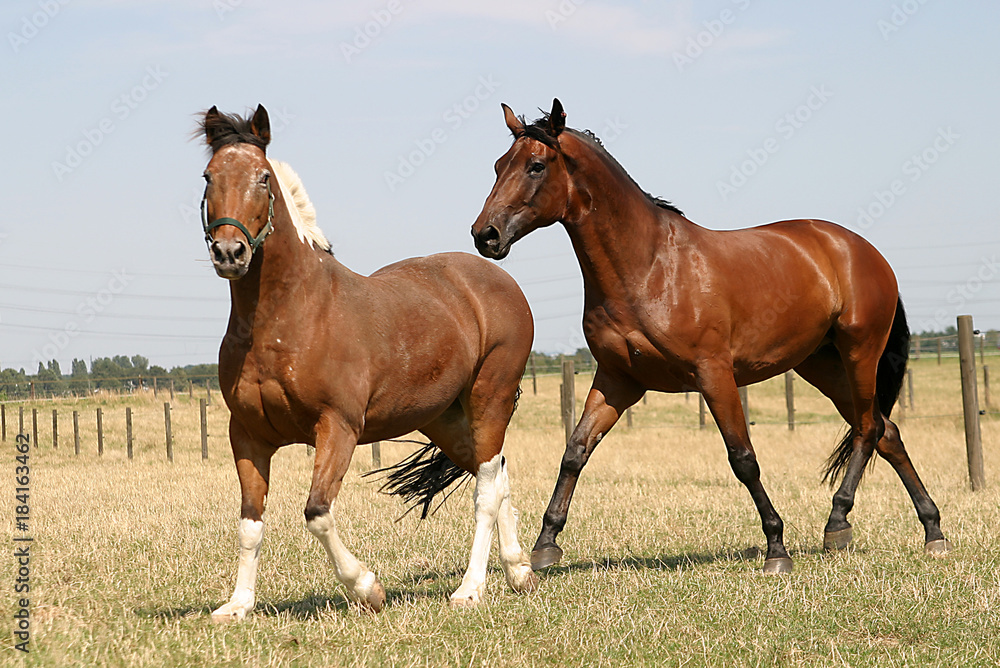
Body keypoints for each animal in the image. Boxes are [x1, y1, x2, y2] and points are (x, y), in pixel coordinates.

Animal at [198, 105, 537, 620]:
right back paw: (518, 571)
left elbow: (317, 513)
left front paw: (367, 588)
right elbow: (250, 523)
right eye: (208, 176)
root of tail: (499, 279)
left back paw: (470, 589)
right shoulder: (249, 435)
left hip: (489, 398)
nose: (229, 252)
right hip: (444, 419)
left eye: (263, 177)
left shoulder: (337, 427)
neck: (285, 318)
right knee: (495, 473)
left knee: (484, 489)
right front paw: (237, 606)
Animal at [470, 99, 951, 574]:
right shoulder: (617, 379)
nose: (484, 235)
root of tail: (861, 250)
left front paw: (777, 548)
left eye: (536, 166)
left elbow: (743, 459)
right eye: (497, 166)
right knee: (887, 432)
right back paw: (932, 531)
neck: (649, 267)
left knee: (869, 429)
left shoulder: (714, 374)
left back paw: (838, 522)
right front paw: (545, 545)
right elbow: (575, 450)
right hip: (821, 366)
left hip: (859, 354)